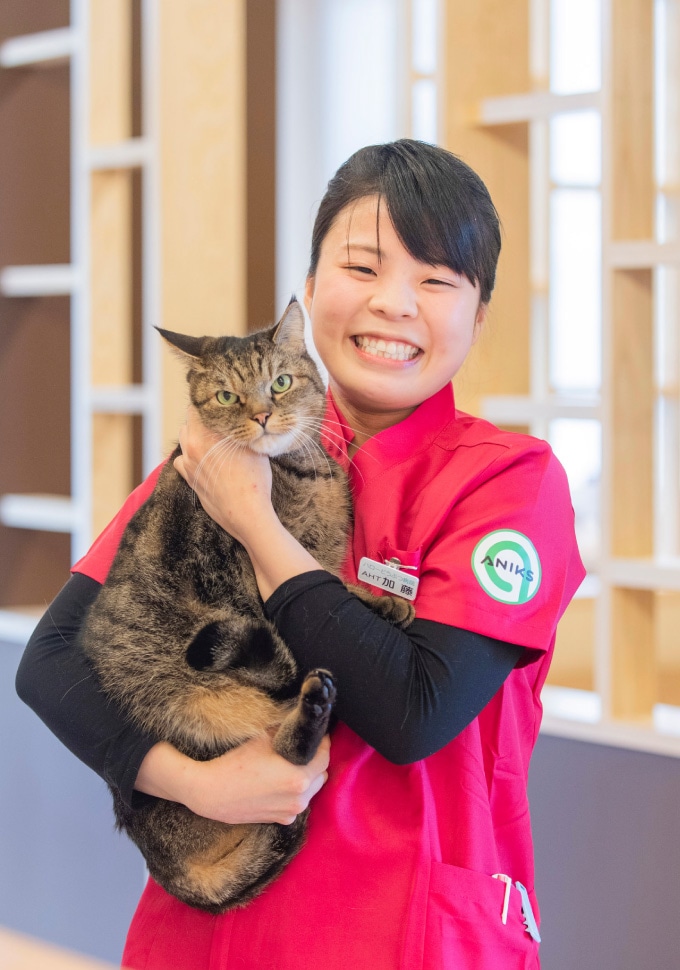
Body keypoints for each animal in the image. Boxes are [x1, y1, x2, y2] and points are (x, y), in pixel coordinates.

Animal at [77, 298, 412, 912]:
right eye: (228, 397)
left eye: (280, 383)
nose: (260, 416)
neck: (300, 474)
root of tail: (163, 862)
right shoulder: (252, 584)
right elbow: (313, 591)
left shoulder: (315, 566)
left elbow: (332, 584)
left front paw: (381, 601)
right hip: (199, 702)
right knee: (282, 726)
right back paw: (312, 703)